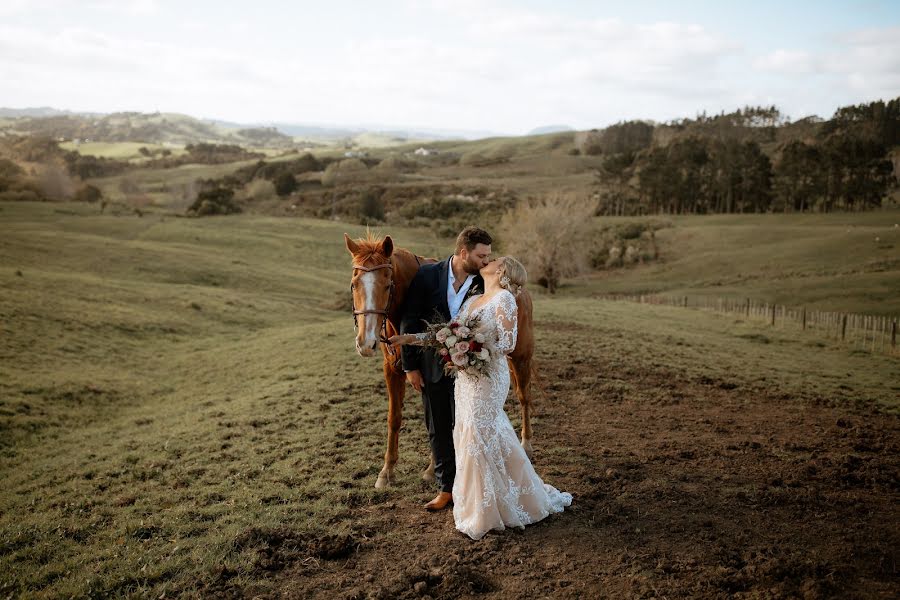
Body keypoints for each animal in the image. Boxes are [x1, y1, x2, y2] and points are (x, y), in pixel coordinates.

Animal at [344, 232, 536, 490]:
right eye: (354, 284)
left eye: (387, 284)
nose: (366, 343)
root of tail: (519, 290)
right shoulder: (393, 371)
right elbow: (396, 419)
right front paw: (387, 471)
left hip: (521, 357)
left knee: (524, 397)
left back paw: (525, 444)